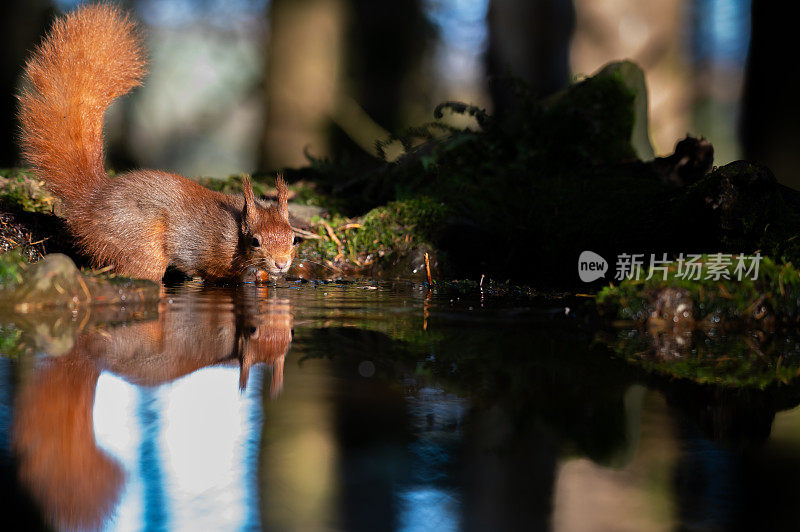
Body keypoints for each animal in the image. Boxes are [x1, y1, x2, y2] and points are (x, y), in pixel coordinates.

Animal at [17, 5, 296, 282]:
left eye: (294, 239)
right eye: (255, 241)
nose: (281, 264)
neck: (236, 229)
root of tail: (91, 201)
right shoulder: (207, 253)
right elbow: (206, 272)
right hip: (140, 247)